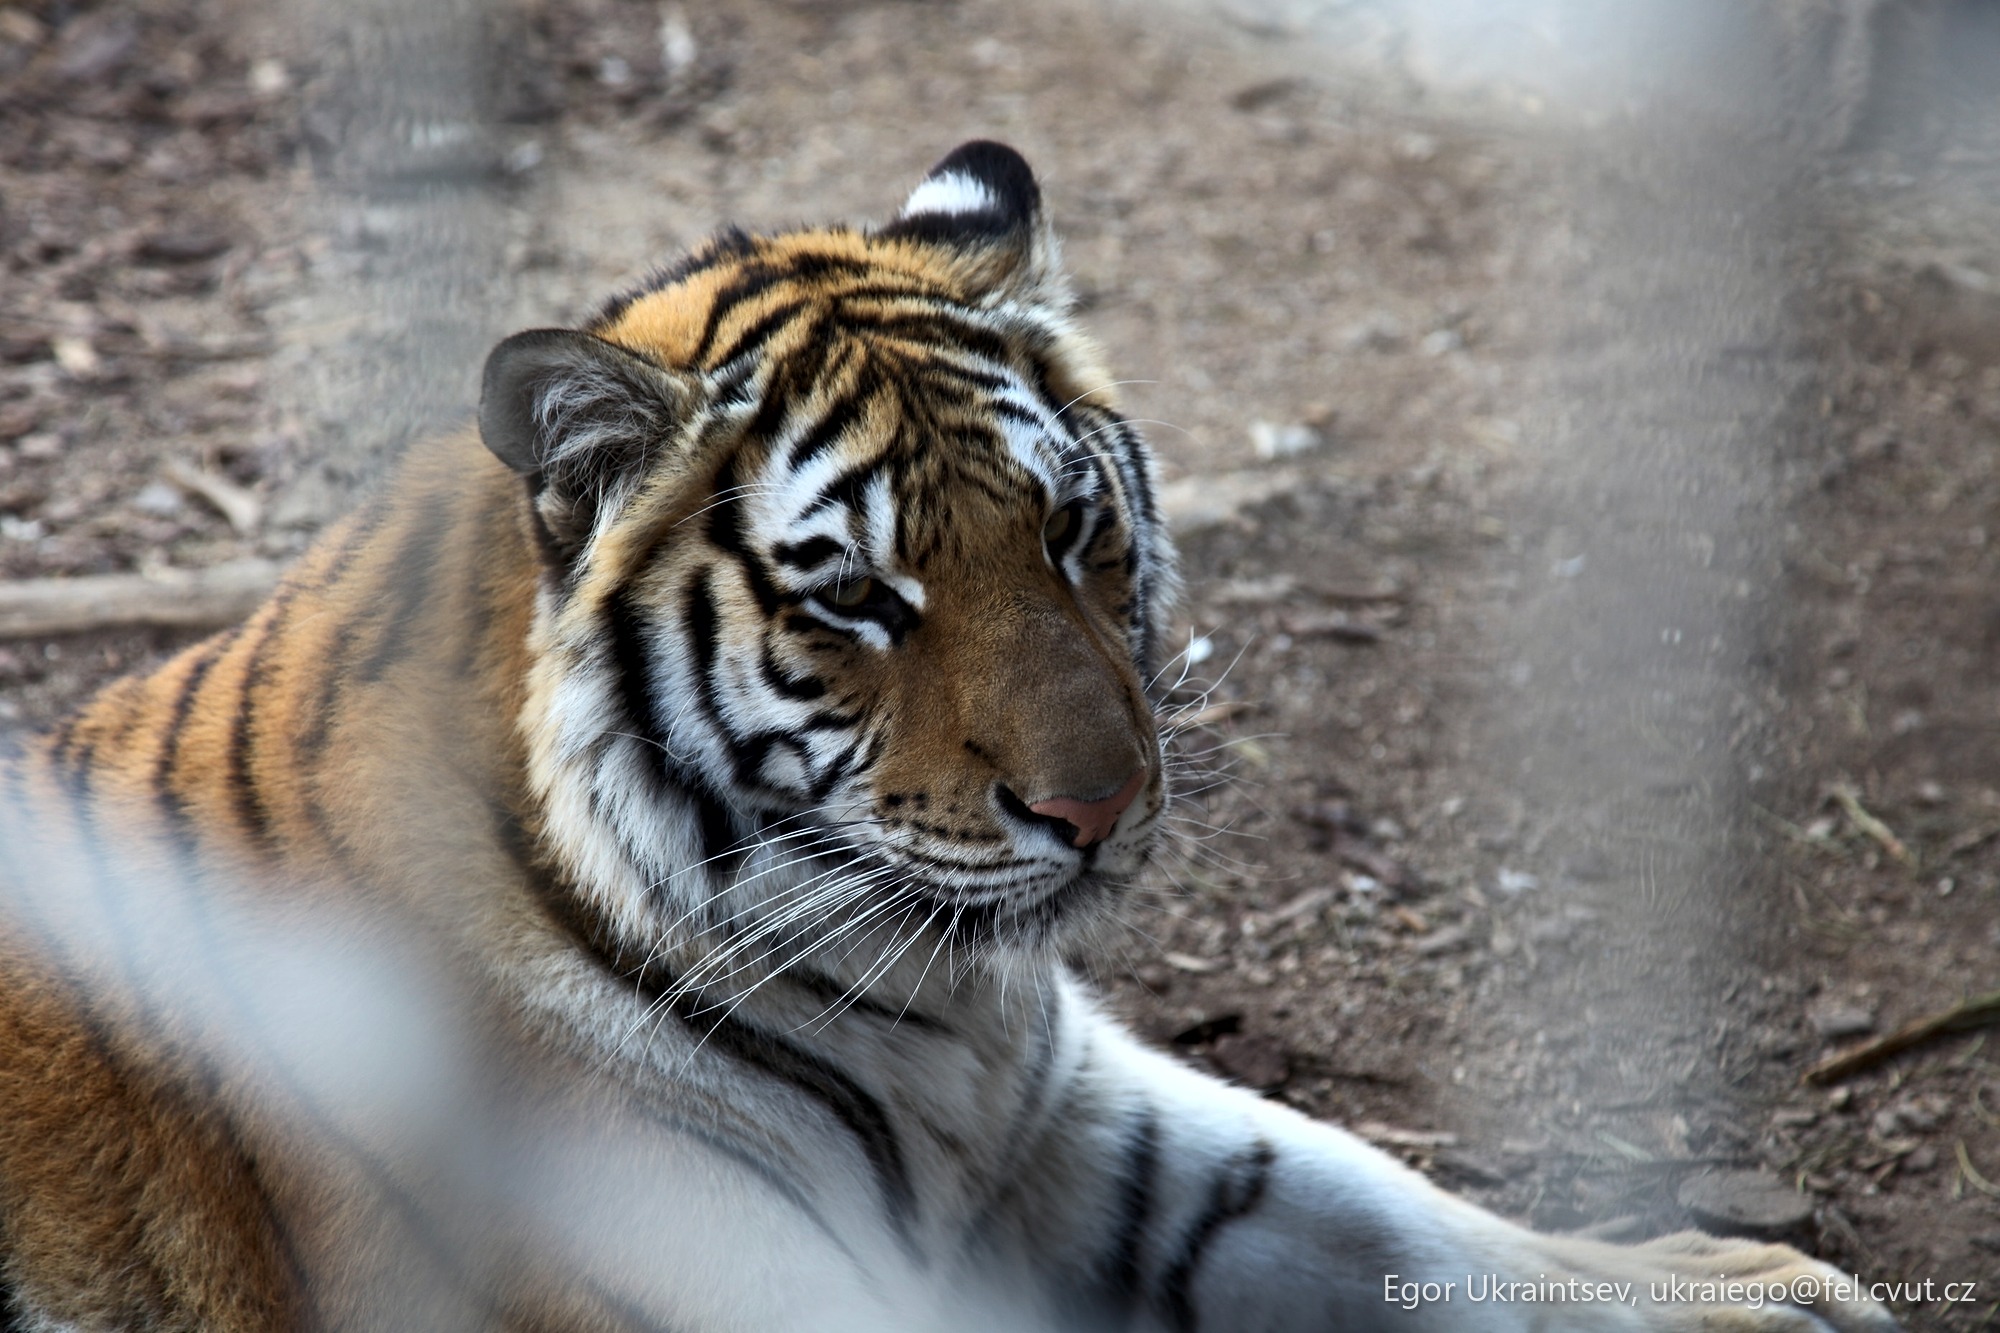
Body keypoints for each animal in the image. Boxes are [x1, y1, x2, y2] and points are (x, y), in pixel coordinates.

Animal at [0, 141, 1895, 1332]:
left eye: (1067, 529)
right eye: (854, 596)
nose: (1101, 806)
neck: (933, 1021)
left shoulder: (1086, 1120)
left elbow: (1388, 1208)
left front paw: (1747, 1290)